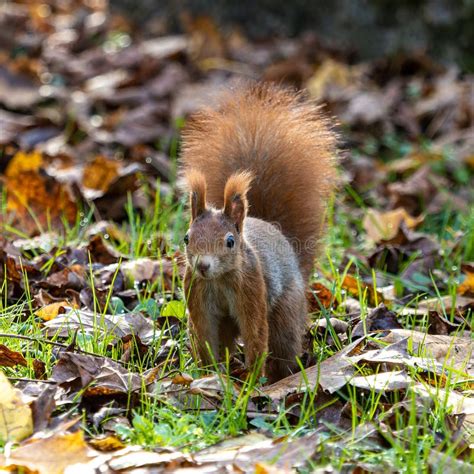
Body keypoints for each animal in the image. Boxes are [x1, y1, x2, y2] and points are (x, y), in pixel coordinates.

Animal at [178, 82, 336, 386]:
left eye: (230, 241)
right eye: (186, 238)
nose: (203, 266)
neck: (219, 280)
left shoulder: (252, 290)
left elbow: (255, 334)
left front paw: (251, 380)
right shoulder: (197, 294)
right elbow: (204, 336)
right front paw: (207, 373)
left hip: (286, 312)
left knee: (282, 344)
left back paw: (277, 377)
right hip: (227, 324)